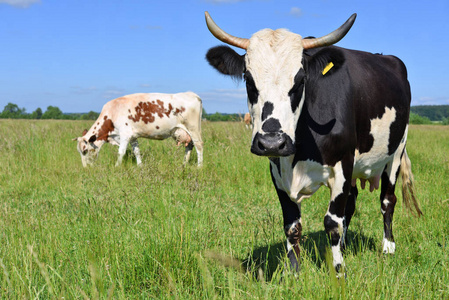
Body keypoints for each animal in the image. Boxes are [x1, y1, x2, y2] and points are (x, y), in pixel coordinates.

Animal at [75, 91, 203, 166]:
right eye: (79, 152)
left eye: (85, 151)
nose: (85, 168)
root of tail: (192, 94)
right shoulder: (133, 136)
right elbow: (136, 151)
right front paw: (140, 166)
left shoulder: (125, 135)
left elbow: (121, 152)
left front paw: (116, 167)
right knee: (189, 146)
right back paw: (184, 165)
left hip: (194, 128)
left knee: (199, 146)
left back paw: (199, 167)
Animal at [205, 11, 422, 274]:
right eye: (248, 79)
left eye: (300, 80)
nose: (271, 142)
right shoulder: (277, 170)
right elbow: (292, 225)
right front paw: (294, 273)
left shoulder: (342, 164)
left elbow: (332, 222)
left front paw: (339, 271)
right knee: (351, 204)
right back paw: (347, 245)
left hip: (396, 152)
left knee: (387, 200)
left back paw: (388, 247)